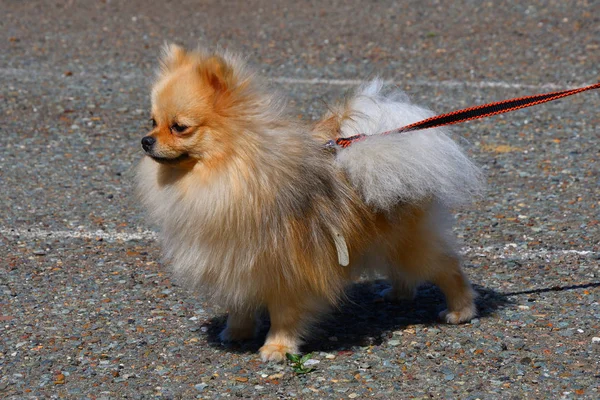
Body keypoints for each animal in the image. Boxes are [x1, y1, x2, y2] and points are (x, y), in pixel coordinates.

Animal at [136, 44, 482, 362]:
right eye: (152, 121)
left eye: (179, 127)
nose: (145, 141)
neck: (230, 170)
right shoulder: (235, 260)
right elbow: (241, 302)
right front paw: (237, 331)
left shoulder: (288, 266)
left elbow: (285, 313)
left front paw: (277, 347)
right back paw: (398, 293)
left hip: (411, 243)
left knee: (447, 266)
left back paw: (461, 309)